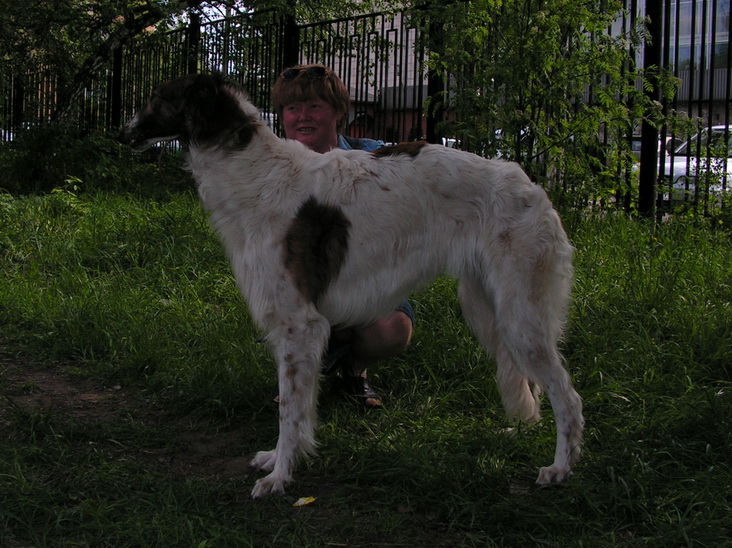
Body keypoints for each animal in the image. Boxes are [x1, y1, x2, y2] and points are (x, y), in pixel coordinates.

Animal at [119, 73, 583, 498]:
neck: (254, 174)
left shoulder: (299, 323)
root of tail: (530, 184)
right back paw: (521, 432)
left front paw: (280, 477)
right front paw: (281, 459)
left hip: (521, 314)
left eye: (158, 97)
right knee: (531, 384)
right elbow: (299, 408)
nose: (122, 132)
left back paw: (560, 468)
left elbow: (290, 410)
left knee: (568, 396)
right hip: (488, 309)